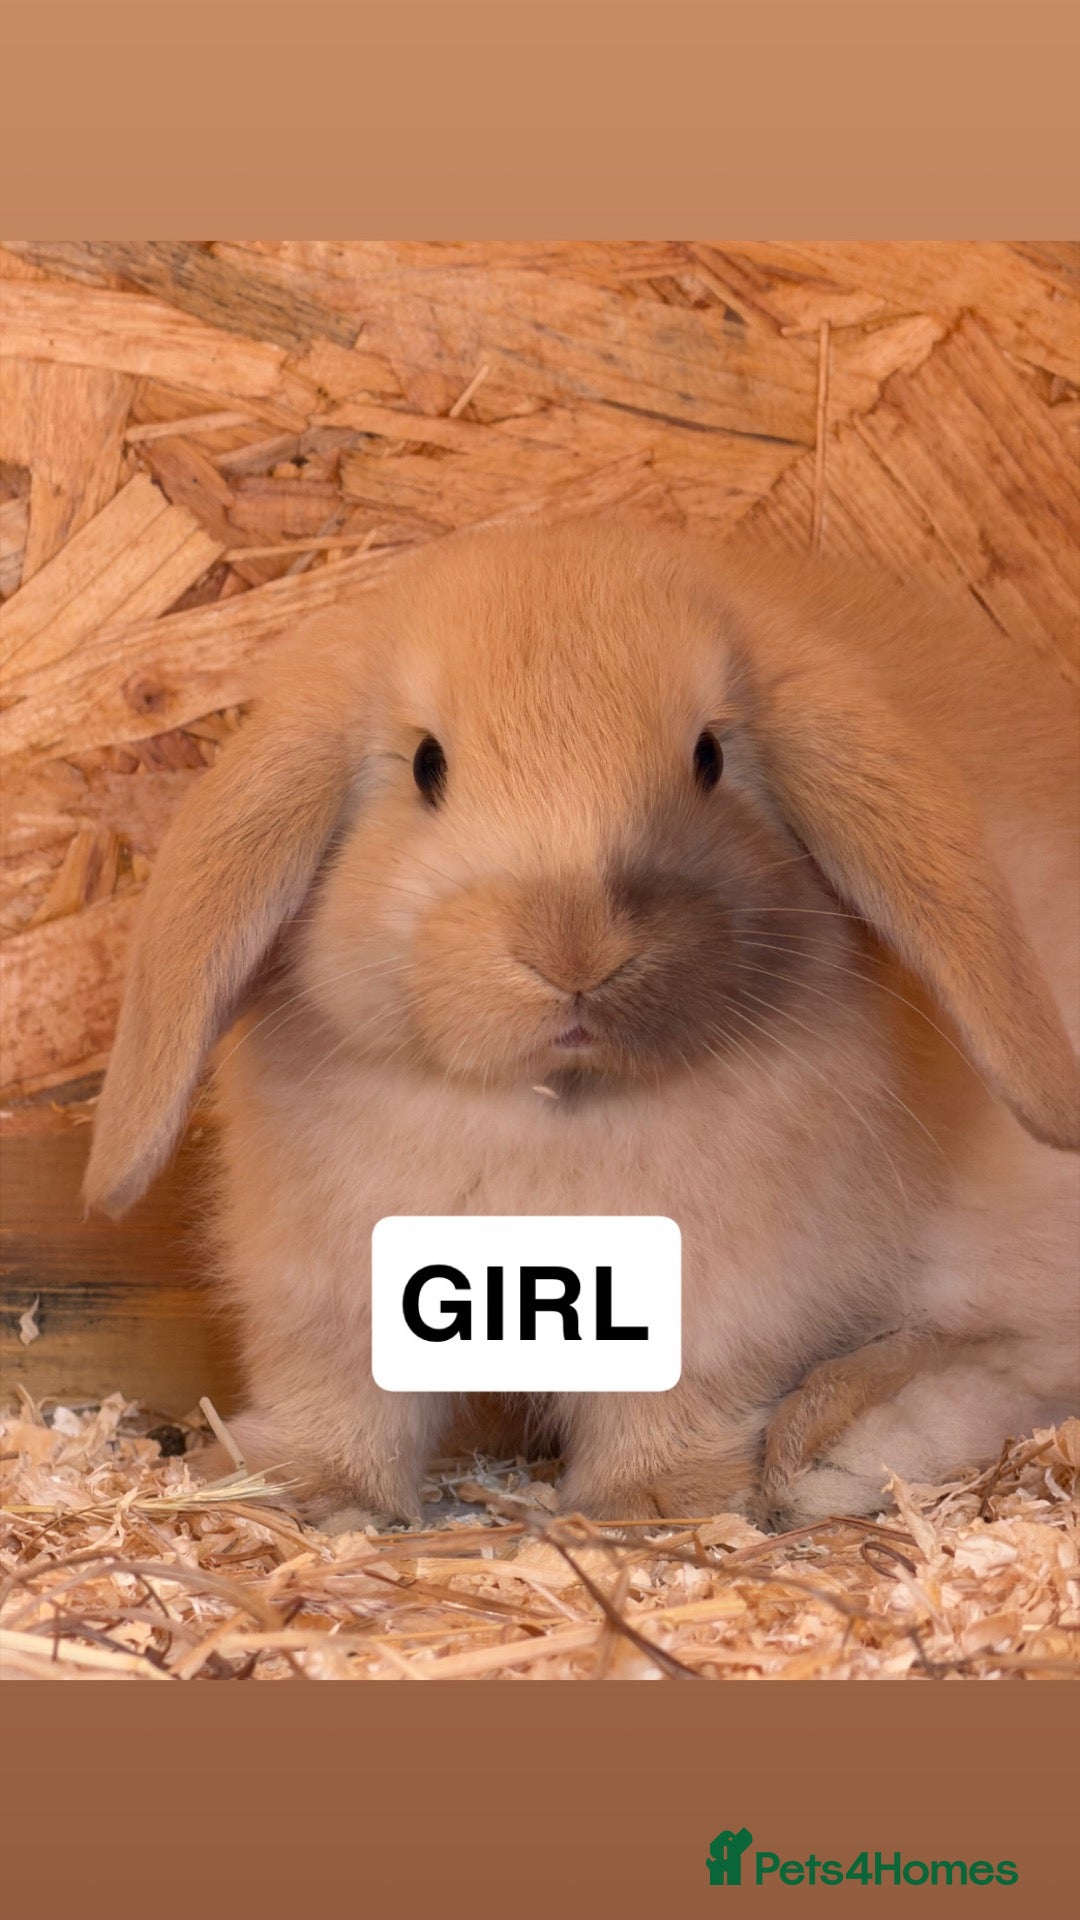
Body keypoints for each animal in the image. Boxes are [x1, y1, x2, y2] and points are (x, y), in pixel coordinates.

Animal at [83, 519, 1080, 1529]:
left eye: (710, 758)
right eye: (427, 765)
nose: (575, 949)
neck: (551, 1107)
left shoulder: (722, 1304)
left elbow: (676, 1402)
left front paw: (649, 1503)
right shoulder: (325, 1298)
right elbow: (341, 1402)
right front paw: (310, 1495)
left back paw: (829, 1441)